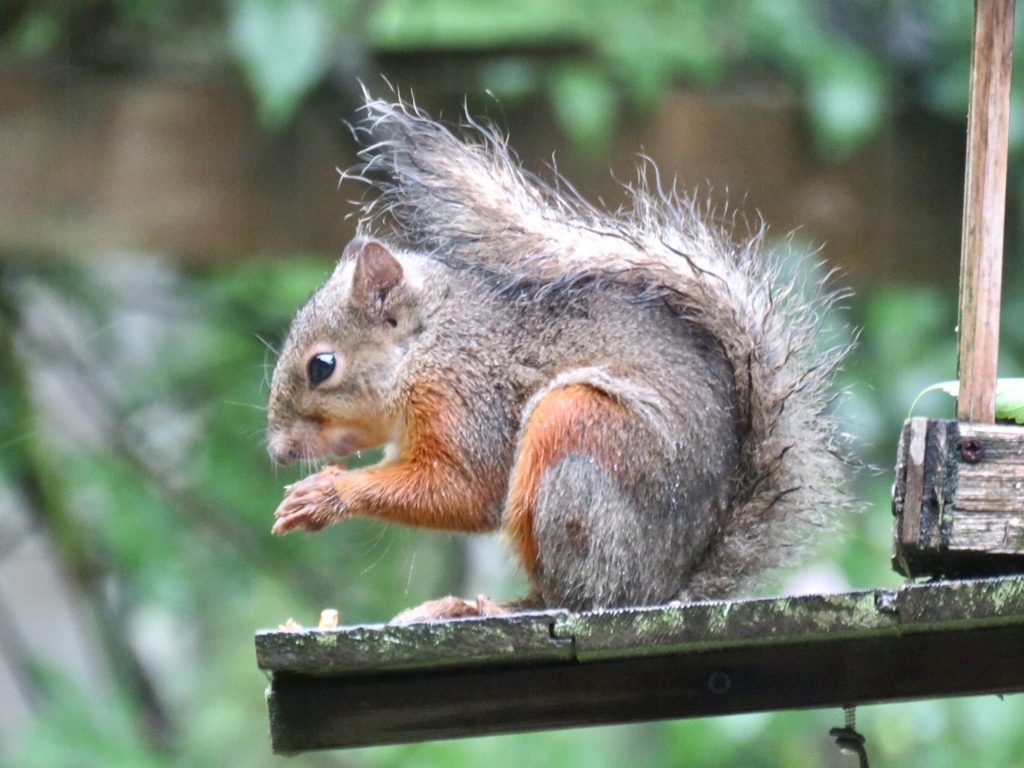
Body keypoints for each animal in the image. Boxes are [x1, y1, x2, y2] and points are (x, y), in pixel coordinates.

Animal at [266, 96, 856, 626]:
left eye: (322, 366)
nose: (277, 451)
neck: (430, 344)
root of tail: (670, 588)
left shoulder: (467, 397)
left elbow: (466, 490)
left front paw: (326, 494)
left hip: (577, 437)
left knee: (582, 597)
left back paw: (486, 607)